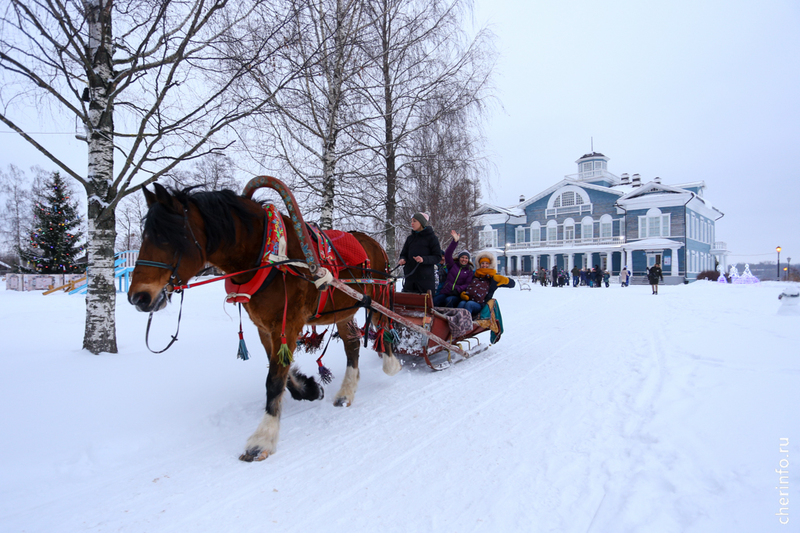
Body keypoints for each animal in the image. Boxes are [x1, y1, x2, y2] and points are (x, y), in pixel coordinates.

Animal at [129, 180, 404, 462]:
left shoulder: (288, 324)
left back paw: (391, 363)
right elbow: (280, 370)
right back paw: (346, 392)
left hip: (376, 298)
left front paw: (263, 438)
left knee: (384, 327)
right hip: (343, 310)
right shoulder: (265, 327)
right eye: (145, 237)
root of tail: (373, 242)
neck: (270, 256)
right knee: (352, 345)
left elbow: (273, 379)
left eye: (169, 237)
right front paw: (308, 389)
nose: (138, 297)